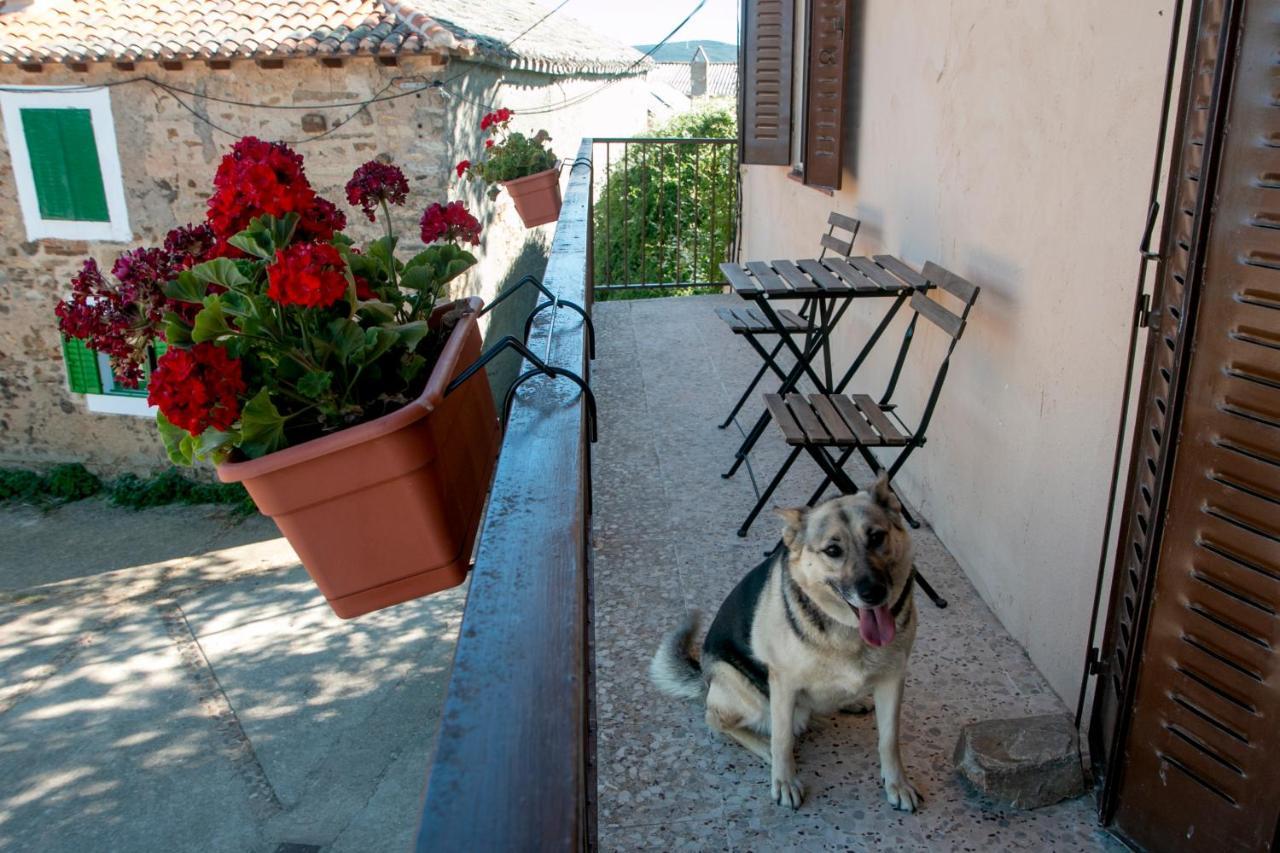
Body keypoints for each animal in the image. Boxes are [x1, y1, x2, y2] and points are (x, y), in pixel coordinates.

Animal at [650, 473, 921, 809]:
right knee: (717, 719)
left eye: (876, 537)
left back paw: (850, 701)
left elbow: (889, 740)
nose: (873, 593)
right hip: (744, 690)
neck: (847, 630)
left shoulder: (893, 679)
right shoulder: (784, 683)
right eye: (833, 550)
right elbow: (782, 739)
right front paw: (784, 780)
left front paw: (897, 784)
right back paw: (761, 744)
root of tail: (705, 680)